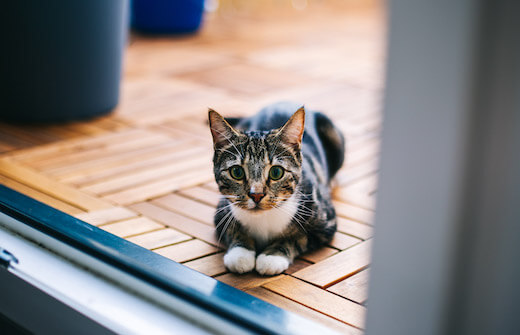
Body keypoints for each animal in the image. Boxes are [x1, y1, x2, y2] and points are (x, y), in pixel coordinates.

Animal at [207, 101, 346, 276]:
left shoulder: (325, 222)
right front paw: (240, 254)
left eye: (276, 172)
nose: (257, 195)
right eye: (237, 172)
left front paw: (271, 256)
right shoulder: (222, 210)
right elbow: (232, 230)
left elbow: (299, 237)